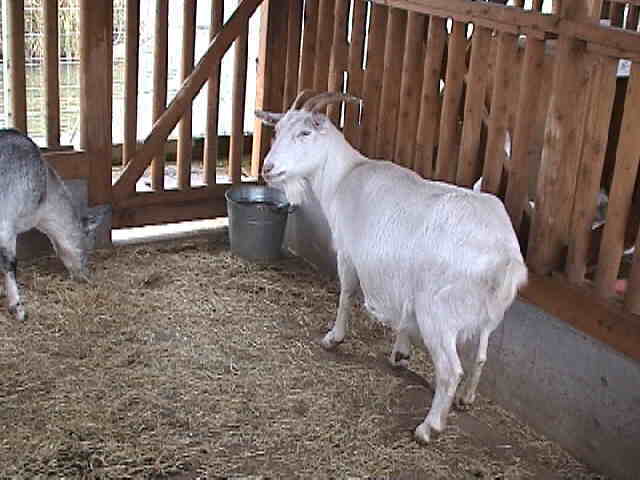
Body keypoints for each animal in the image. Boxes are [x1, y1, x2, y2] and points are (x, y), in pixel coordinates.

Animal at [255, 91, 528, 443]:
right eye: (276, 131)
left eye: (305, 133)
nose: (268, 168)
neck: (345, 175)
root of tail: (505, 257)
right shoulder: (401, 278)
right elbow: (403, 316)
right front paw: (401, 352)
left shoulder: (349, 252)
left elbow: (346, 292)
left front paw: (334, 337)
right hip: (489, 313)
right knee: (480, 354)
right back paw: (466, 399)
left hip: (438, 311)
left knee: (450, 370)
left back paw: (428, 427)